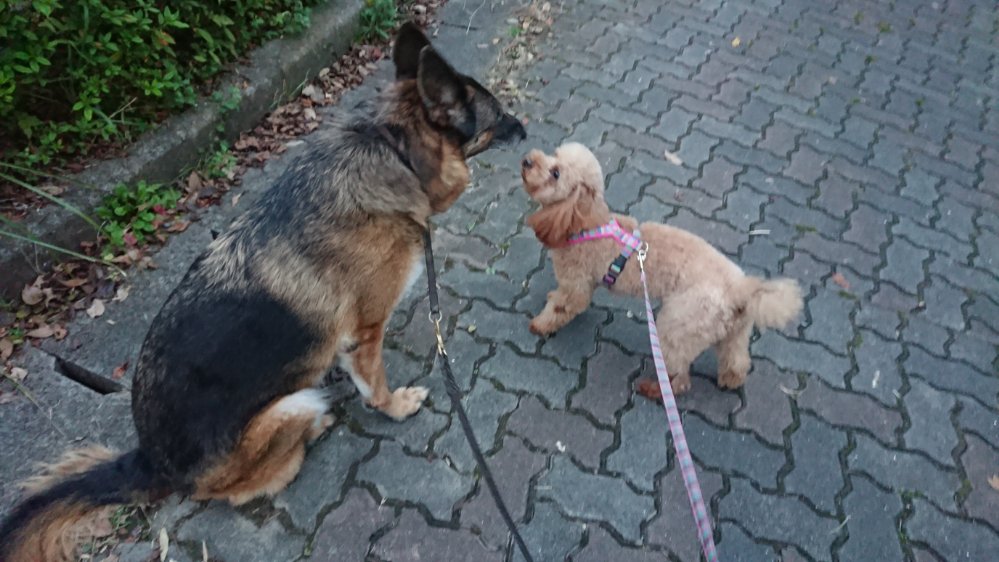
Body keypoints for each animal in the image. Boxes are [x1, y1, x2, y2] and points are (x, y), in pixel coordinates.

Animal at [0, 22, 525, 561]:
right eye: (499, 114)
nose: (524, 128)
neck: (393, 152)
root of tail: (151, 458)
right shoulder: (366, 330)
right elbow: (375, 384)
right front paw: (395, 406)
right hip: (290, 406)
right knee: (246, 485)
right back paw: (312, 431)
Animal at [521, 142, 802, 396]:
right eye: (554, 154)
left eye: (555, 173)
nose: (526, 160)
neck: (583, 222)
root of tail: (741, 289)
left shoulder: (576, 285)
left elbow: (562, 307)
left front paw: (540, 325)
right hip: (734, 330)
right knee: (736, 358)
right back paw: (730, 379)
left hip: (678, 325)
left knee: (679, 374)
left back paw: (655, 389)